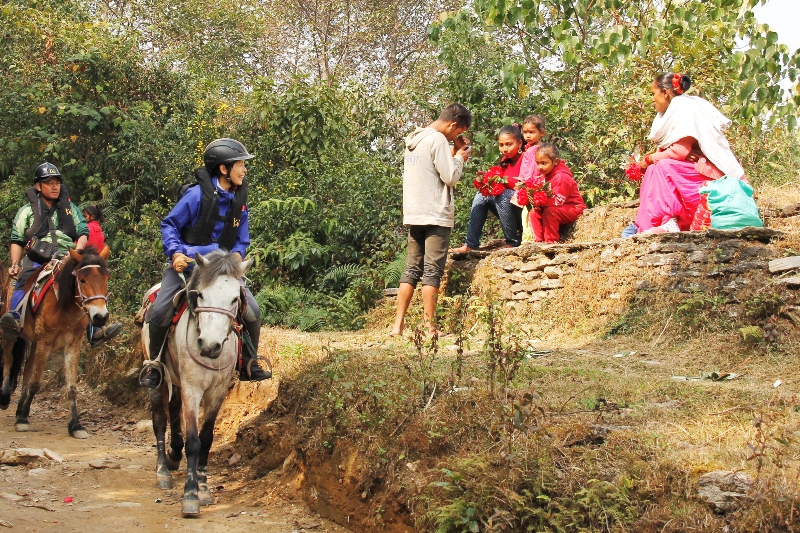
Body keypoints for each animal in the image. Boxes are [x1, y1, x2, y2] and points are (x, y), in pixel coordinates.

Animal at [0, 245, 112, 436]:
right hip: (9, 333)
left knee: (27, 367)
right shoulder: (45, 342)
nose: (100, 317)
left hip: (35, 341)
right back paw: (6, 398)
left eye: (105, 279)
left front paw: (75, 425)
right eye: (82, 280)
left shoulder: (72, 345)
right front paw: (22, 419)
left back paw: (20, 408)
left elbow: (72, 388)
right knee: (8, 361)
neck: (64, 305)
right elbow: (35, 383)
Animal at [141, 251, 252, 516]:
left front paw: (202, 486)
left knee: (173, 409)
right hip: (159, 380)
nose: (209, 345)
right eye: (200, 295)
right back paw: (163, 470)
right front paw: (190, 494)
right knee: (159, 420)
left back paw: (173, 455)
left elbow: (207, 438)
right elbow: (193, 440)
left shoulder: (217, 392)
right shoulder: (193, 389)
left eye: (235, 299)